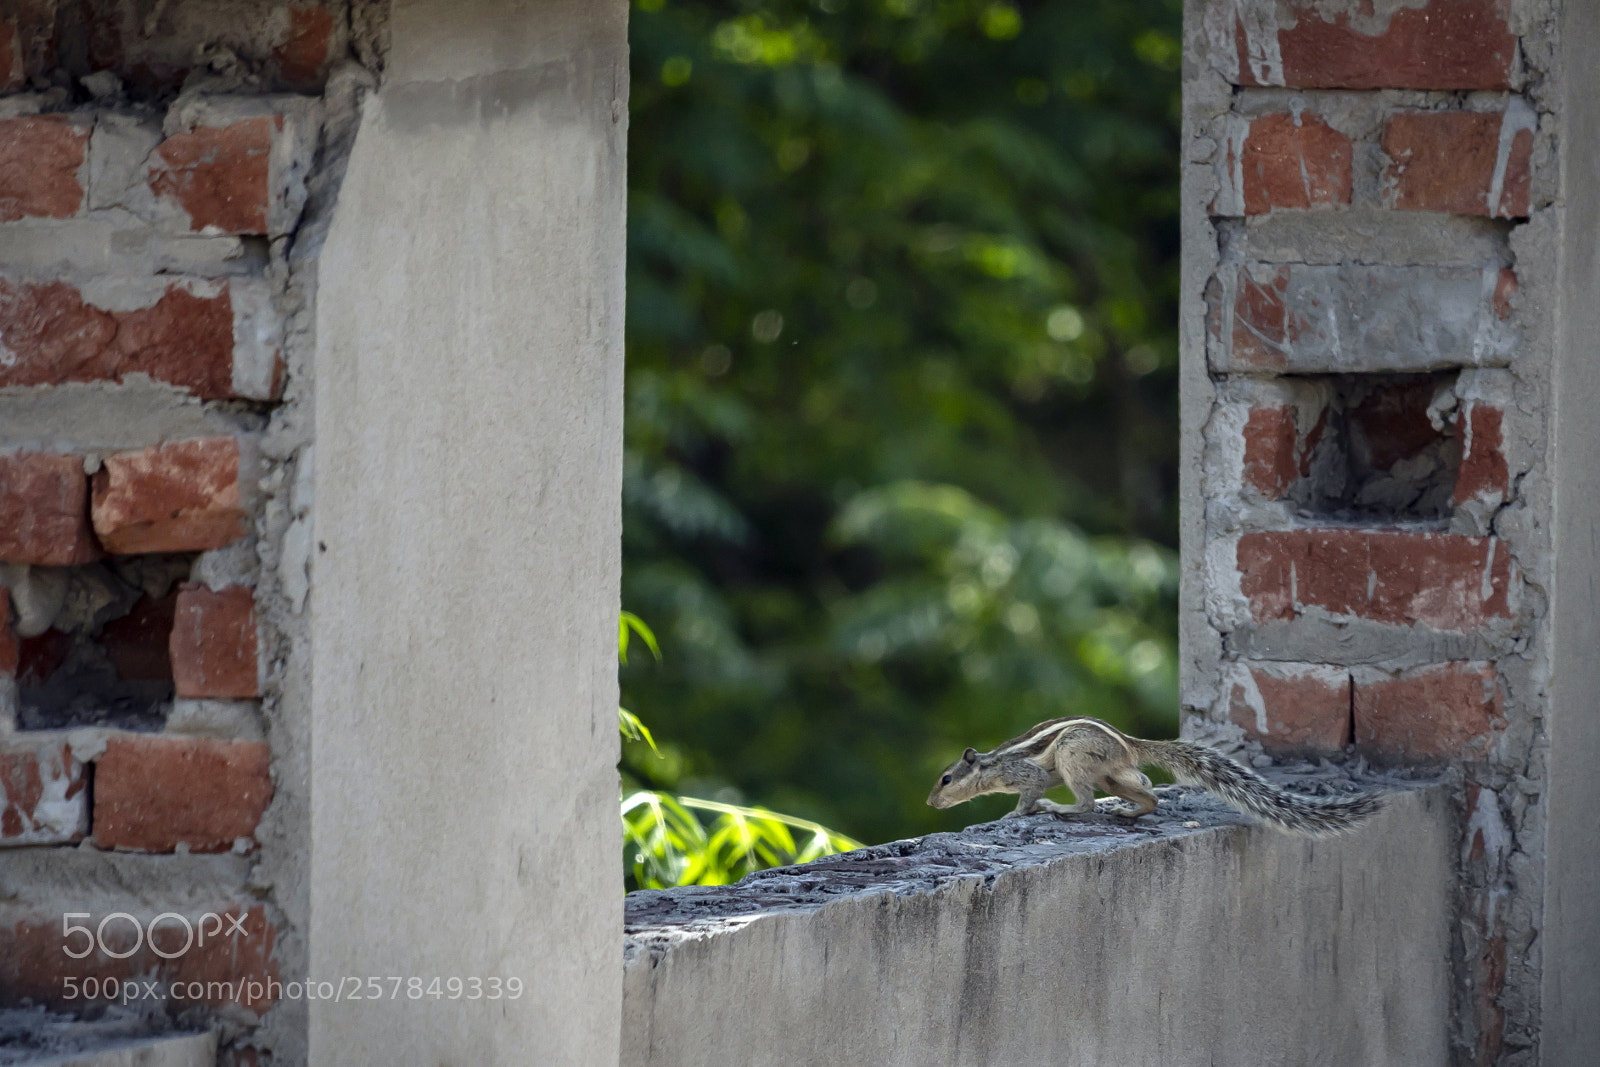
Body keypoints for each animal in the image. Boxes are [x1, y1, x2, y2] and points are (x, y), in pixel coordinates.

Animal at [926, 716, 1382, 836]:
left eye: (946, 779)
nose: (930, 802)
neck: (989, 766)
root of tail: (1130, 744)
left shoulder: (1023, 772)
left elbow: (1031, 789)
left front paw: (1016, 814)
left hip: (1075, 755)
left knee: (1087, 802)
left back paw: (1063, 807)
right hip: (1111, 774)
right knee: (1149, 793)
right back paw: (1130, 812)